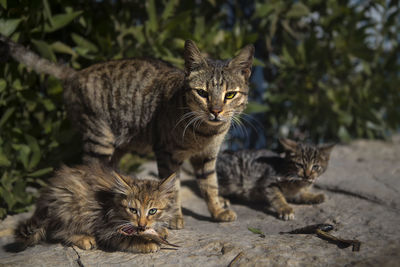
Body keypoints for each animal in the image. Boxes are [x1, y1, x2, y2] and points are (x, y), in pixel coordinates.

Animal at [0, 35, 255, 228]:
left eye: (230, 95)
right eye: (202, 93)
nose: (216, 111)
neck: (205, 132)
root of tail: (75, 73)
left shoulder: (207, 157)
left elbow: (210, 186)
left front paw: (218, 211)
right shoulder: (167, 154)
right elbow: (173, 190)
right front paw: (175, 216)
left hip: (117, 147)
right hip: (99, 139)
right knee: (91, 172)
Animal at [14, 164, 177, 254]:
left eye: (152, 211)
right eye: (133, 210)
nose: (141, 225)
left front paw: (159, 230)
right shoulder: (106, 230)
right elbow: (128, 239)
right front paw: (147, 243)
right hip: (70, 208)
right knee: (58, 231)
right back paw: (84, 239)